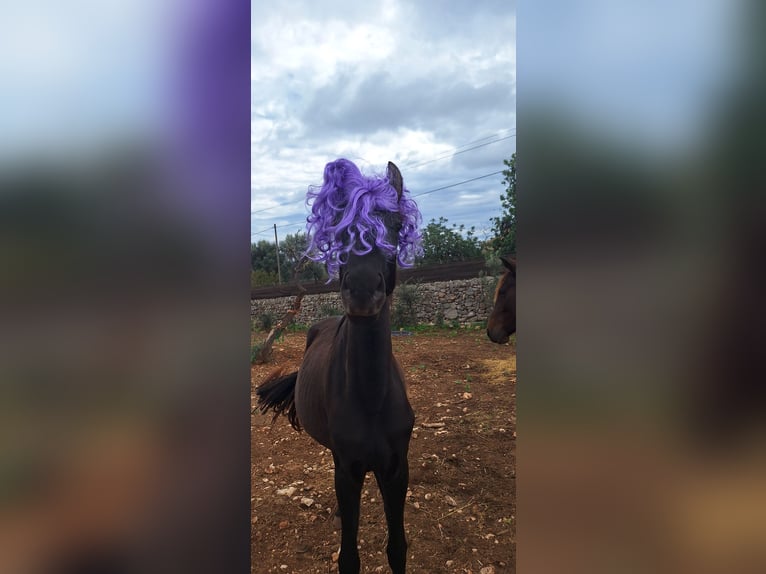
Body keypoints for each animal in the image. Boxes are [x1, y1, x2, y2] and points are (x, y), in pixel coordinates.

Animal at [256, 159, 421, 574]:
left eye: (396, 223)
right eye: (339, 226)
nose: (362, 291)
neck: (372, 398)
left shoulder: (397, 470)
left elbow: (397, 548)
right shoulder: (348, 470)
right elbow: (349, 558)